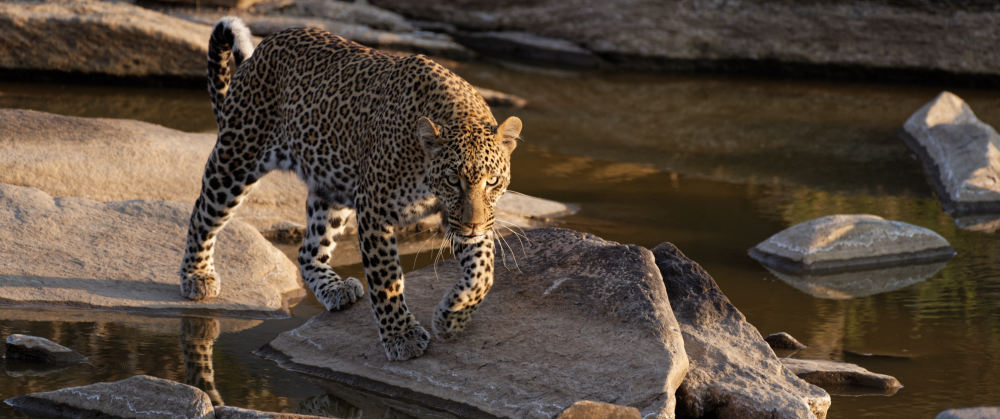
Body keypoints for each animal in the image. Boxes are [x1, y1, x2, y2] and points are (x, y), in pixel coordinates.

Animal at [181, 17, 524, 360]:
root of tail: (263, 48)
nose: (473, 225)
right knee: (202, 214)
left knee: (309, 250)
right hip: (237, 158)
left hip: (331, 190)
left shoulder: (463, 217)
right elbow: (387, 278)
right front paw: (401, 335)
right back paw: (197, 277)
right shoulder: (375, 209)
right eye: (453, 180)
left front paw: (452, 316)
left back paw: (335, 289)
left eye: (492, 181)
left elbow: (484, 270)